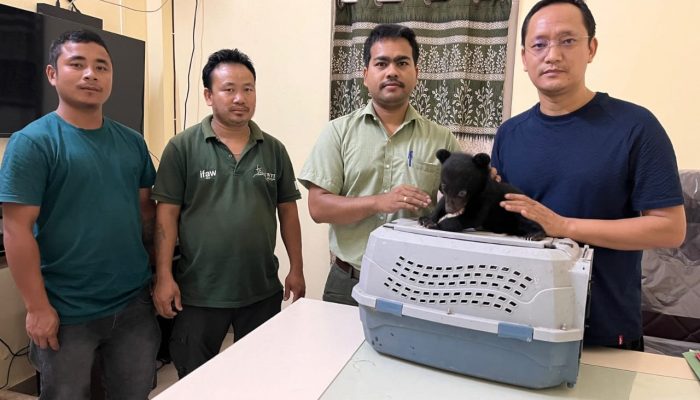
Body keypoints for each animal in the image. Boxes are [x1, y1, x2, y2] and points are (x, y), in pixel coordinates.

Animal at [418, 149, 546, 241]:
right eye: (444, 187)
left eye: (462, 192)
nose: (450, 209)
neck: (474, 194)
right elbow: (441, 205)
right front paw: (426, 219)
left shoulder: (485, 198)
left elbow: (473, 217)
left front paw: (437, 225)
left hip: (517, 208)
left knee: (527, 220)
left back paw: (534, 234)